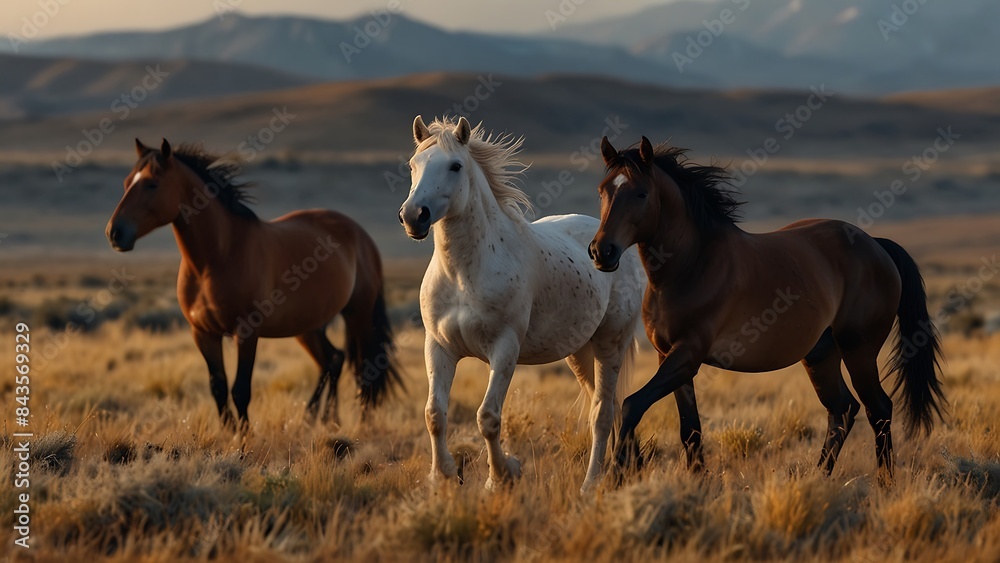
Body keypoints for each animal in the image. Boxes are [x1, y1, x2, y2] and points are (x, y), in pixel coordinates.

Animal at [106, 138, 402, 429]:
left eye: (151, 184)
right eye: (126, 182)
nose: (114, 233)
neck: (215, 260)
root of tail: (360, 234)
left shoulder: (246, 333)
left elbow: (240, 390)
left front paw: (244, 435)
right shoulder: (203, 334)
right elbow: (218, 387)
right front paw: (229, 432)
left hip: (358, 315)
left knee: (364, 369)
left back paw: (360, 423)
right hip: (308, 326)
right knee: (334, 360)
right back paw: (321, 418)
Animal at [398, 116, 645, 493]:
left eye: (455, 166)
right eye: (413, 165)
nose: (414, 216)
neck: (464, 274)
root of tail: (614, 247)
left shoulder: (504, 348)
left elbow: (488, 417)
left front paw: (502, 475)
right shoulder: (439, 346)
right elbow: (434, 415)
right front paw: (443, 476)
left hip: (610, 345)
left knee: (602, 414)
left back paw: (590, 484)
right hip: (580, 353)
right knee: (607, 407)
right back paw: (612, 474)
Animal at [589, 136, 945, 484]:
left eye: (641, 193)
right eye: (603, 190)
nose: (601, 252)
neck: (691, 266)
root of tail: (876, 245)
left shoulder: (687, 355)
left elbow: (631, 405)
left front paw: (620, 472)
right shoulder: (668, 356)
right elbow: (689, 428)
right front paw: (695, 481)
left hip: (859, 350)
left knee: (878, 409)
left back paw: (884, 483)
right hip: (821, 355)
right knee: (843, 409)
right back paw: (817, 479)